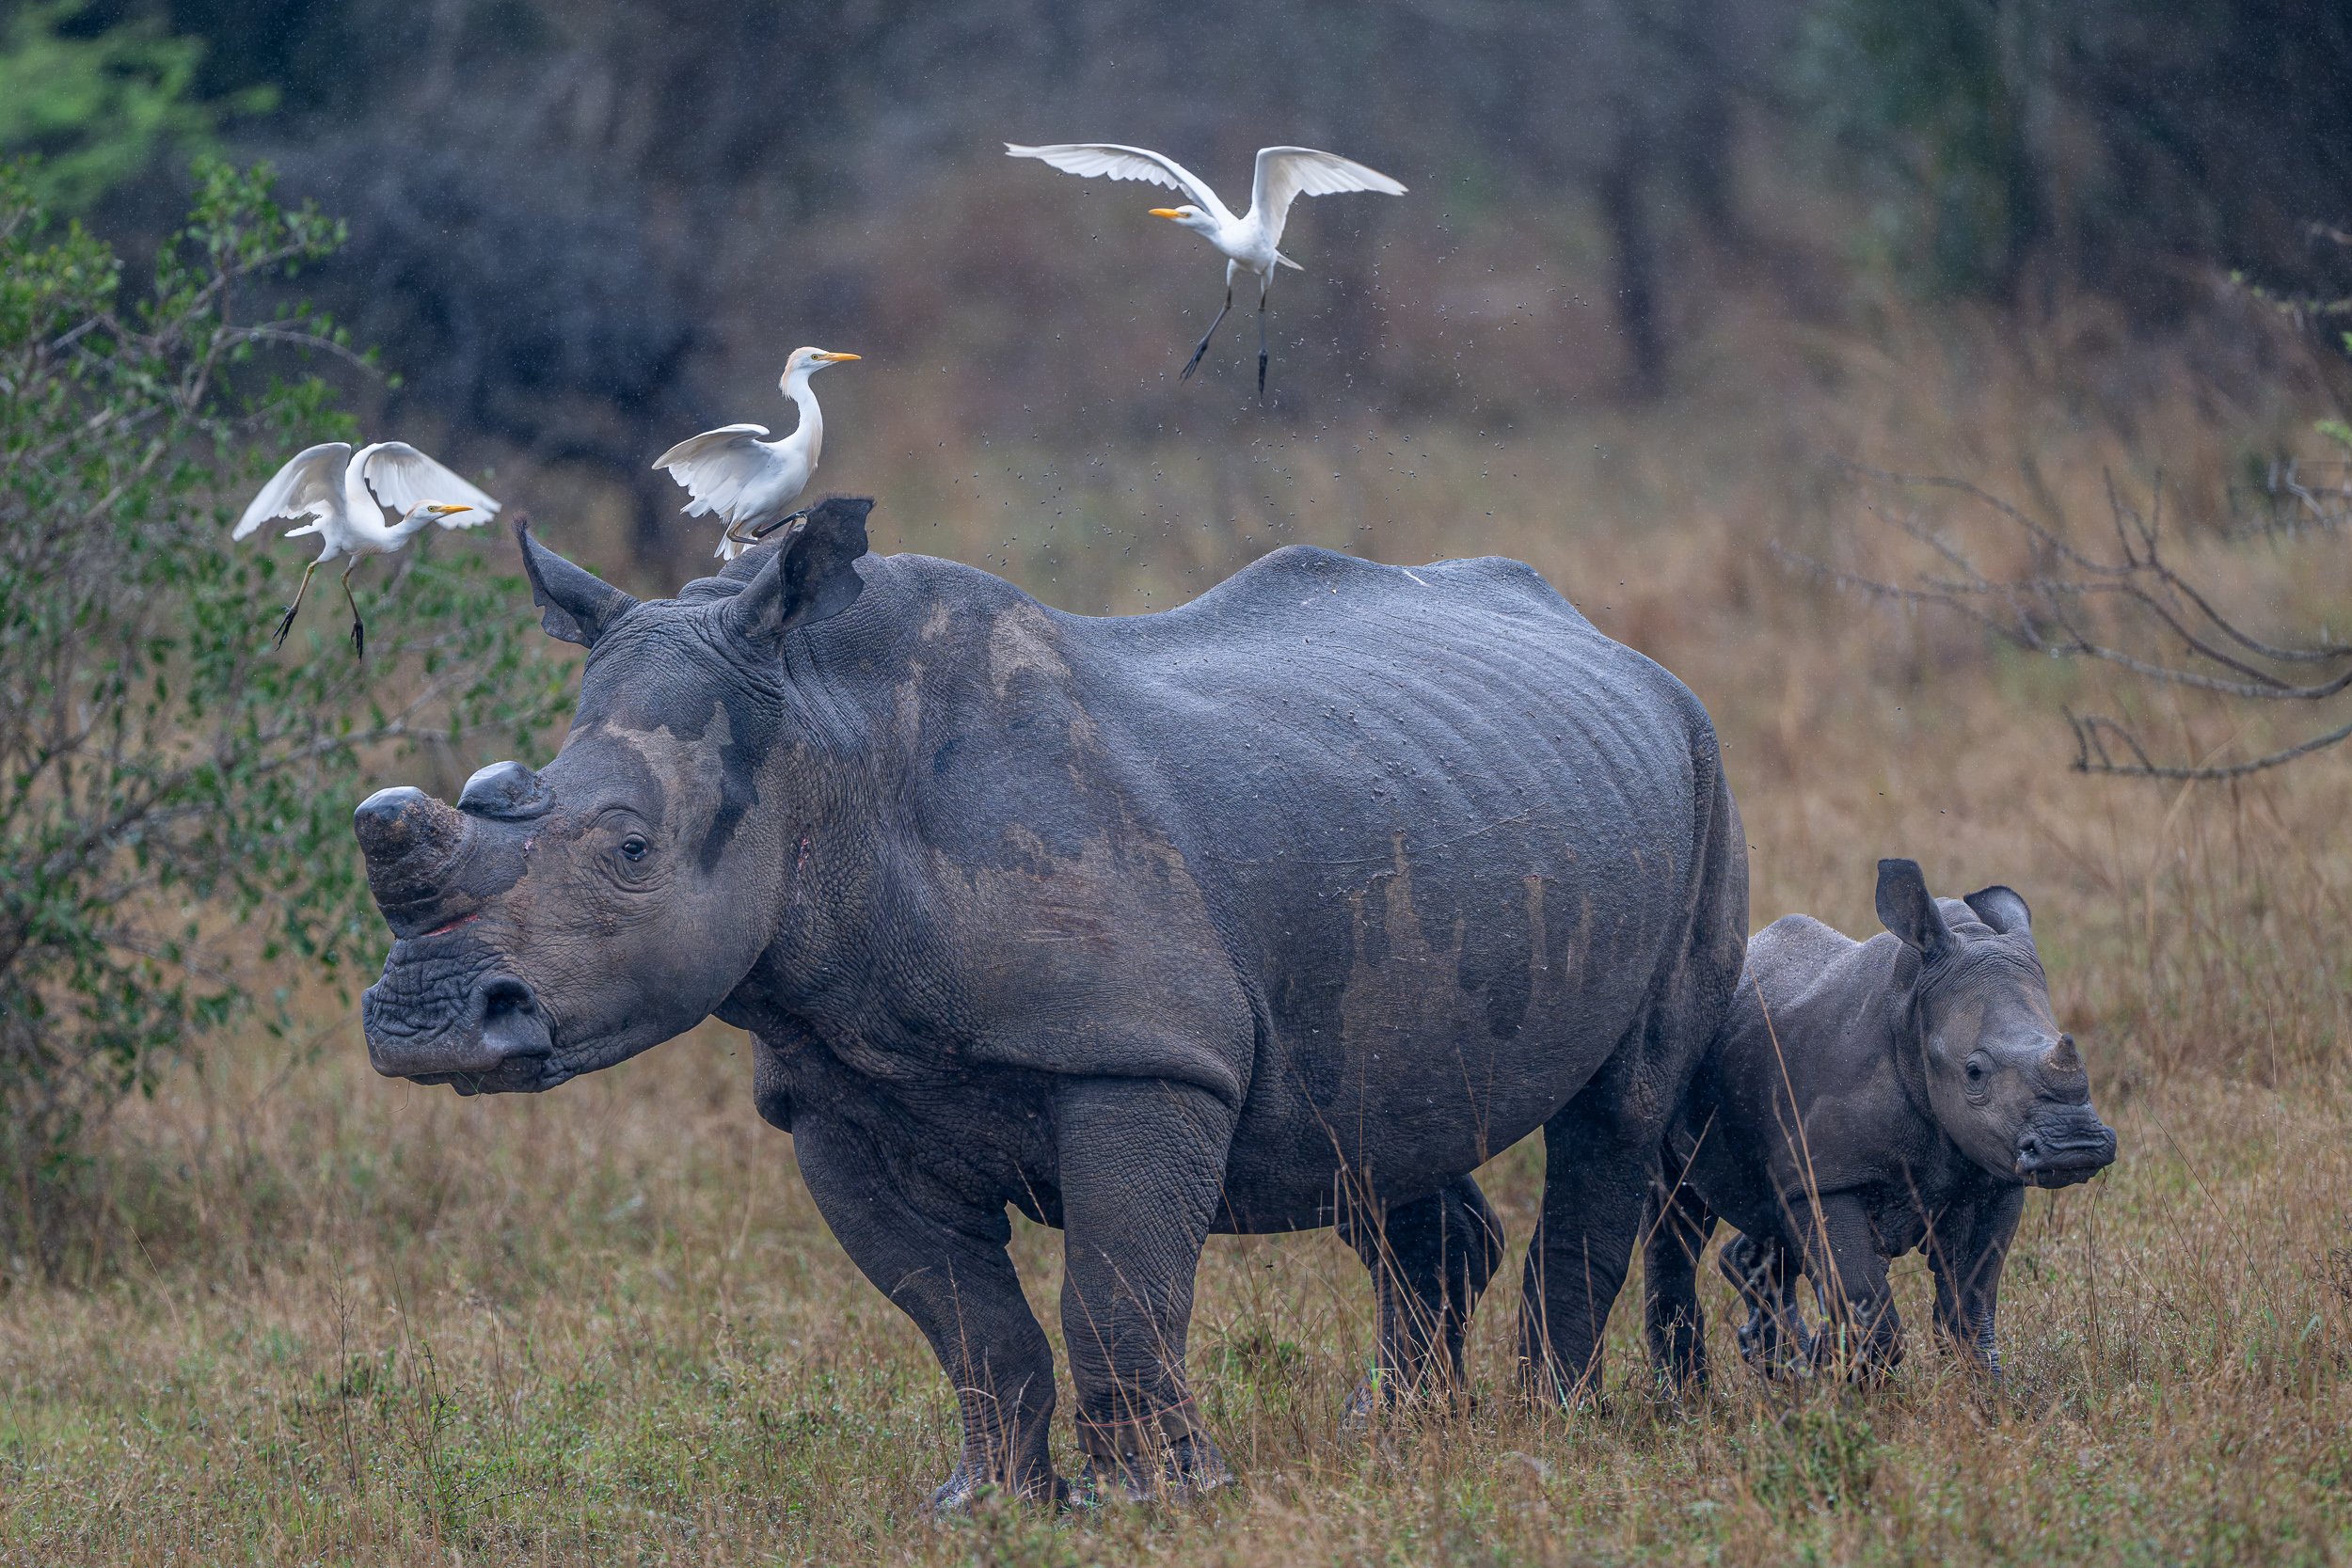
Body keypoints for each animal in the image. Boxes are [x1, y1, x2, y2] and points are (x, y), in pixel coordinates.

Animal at [354, 497, 1749, 1506]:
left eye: (632, 849)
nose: (427, 1023)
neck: (825, 754)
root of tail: (1614, 644)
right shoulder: (833, 1094)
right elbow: (965, 1321)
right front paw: (989, 1504)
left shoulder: (1140, 1055)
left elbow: (1115, 1297)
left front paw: (1165, 1501)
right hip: (1412, 801)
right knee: (1386, 1115)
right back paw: (1399, 1429)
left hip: (1697, 762)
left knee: (1619, 1108)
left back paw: (1549, 1426)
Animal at [1642, 859, 2117, 1387]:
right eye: (1974, 1072)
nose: (2075, 1147)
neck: (1913, 1015)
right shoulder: (1825, 1177)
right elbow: (1865, 1296)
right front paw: (1853, 1382)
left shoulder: (1997, 1175)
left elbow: (1970, 1303)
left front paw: (1985, 1393)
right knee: (1674, 1214)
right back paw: (1691, 1394)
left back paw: (1783, 1369)